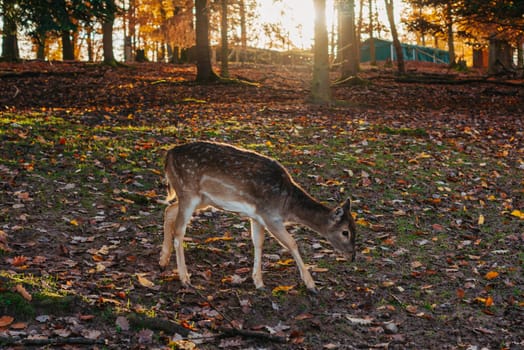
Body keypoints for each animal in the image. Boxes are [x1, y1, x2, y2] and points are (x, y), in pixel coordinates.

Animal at [159, 141, 356, 292]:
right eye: (345, 232)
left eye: (355, 230)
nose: (352, 256)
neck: (287, 205)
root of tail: (168, 155)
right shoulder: (270, 216)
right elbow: (292, 243)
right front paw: (311, 285)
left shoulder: (257, 216)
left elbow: (258, 242)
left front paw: (258, 282)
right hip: (188, 191)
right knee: (179, 231)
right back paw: (185, 278)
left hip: (202, 199)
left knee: (169, 210)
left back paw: (163, 261)